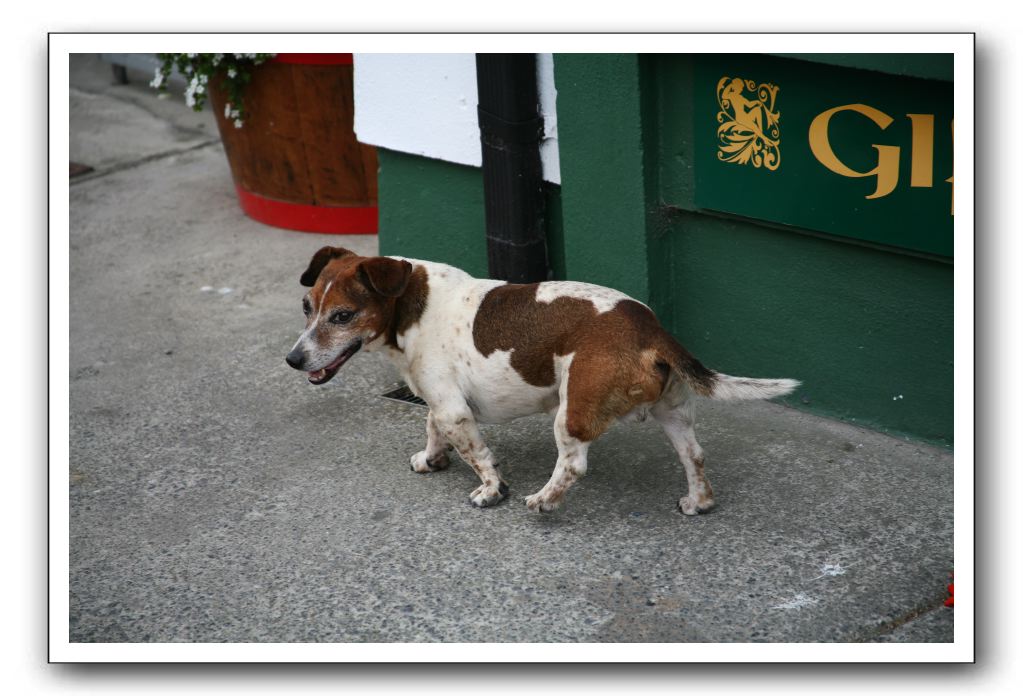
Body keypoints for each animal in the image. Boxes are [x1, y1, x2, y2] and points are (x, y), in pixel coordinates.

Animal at [286, 247, 797, 513]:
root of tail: (650, 330)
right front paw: (431, 459)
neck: (412, 305)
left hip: (572, 412)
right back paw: (698, 500)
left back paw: (543, 501)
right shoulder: (442, 402)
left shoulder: (454, 410)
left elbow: (477, 454)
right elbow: (432, 427)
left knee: (573, 464)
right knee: (694, 455)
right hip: (673, 412)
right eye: (307, 307)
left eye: (343, 315)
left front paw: (492, 490)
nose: (293, 359)